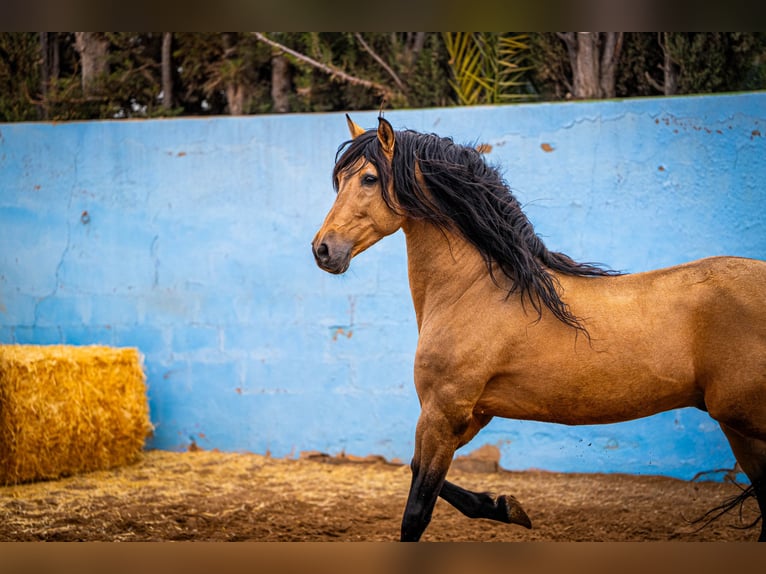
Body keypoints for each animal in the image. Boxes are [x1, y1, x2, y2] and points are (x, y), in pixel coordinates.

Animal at [310, 115, 766, 544]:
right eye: (341, 180)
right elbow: (420, 474)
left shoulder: (444, 410)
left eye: (369, 178)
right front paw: (506, 507)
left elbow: (417, 508)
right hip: (736, 428)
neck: (474, 289)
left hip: (743, 418)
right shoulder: (473, 414)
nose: (323, 250)